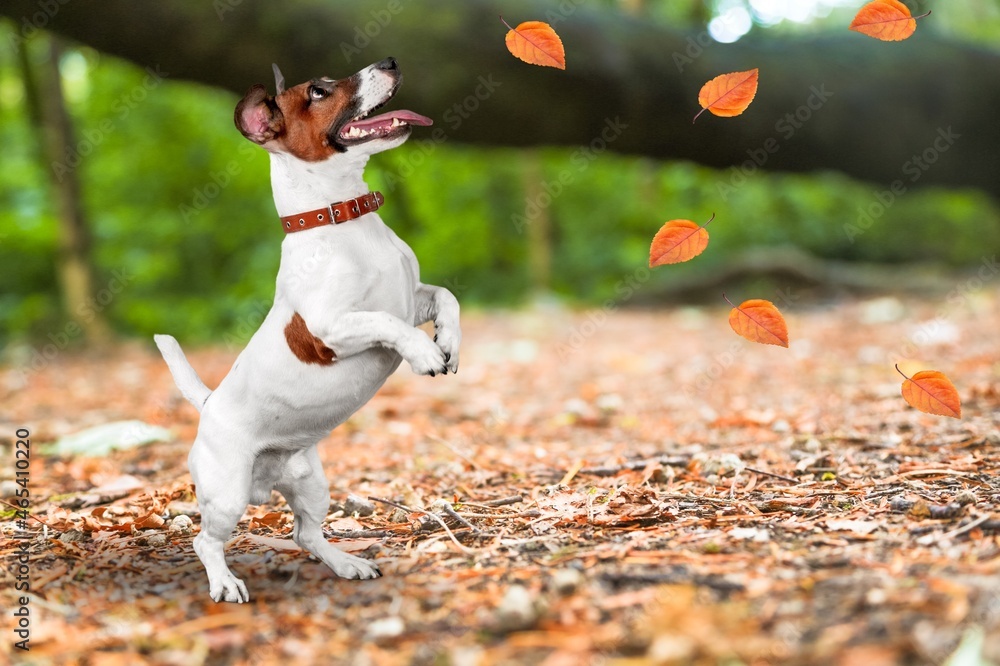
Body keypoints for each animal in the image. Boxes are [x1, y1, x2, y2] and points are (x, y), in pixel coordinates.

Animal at [154, 58, 462, 600]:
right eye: (319, 91)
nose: (390, 62)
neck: (343, 219)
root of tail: (209, 405)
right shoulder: (331, 328)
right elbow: (384, 322)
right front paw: (423, 354)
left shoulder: (415, 298)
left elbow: (447, 297)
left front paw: (449, 341)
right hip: (227, 493)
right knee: (205, 541)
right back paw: (224, 582)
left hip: (313, 485)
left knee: (306, 534)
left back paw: (346, 563)